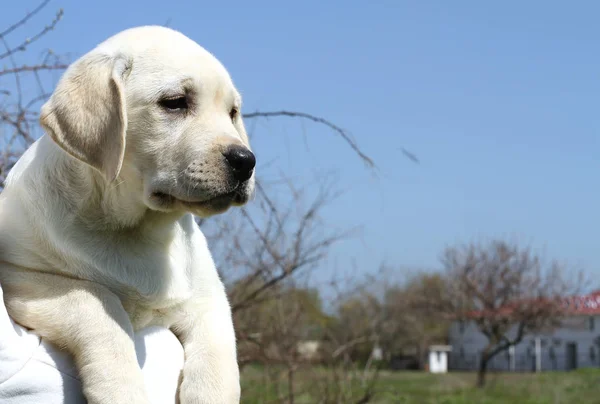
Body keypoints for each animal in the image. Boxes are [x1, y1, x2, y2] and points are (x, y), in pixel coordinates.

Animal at [0, 26, 254, 404]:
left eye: (233, 112)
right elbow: (97, 303)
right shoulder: (25, 277)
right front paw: (121, 388)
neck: (141, 228)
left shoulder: (208, 298)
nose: (245, 161)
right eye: (175, 102)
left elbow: (219, 363)